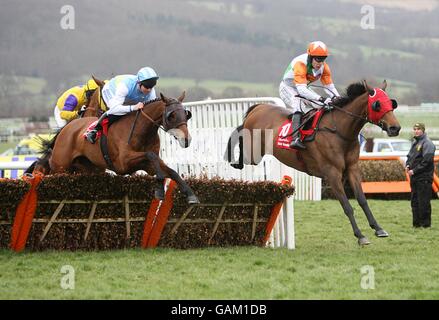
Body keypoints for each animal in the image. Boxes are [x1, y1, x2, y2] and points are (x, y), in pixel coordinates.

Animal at [31, 90, 201, 204]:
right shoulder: (123, 162)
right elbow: (151, 156)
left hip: (88, 169)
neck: (142, 130)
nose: (186, 140)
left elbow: (171, 171)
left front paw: (190, 194)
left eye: (186, 114)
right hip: (60, 166)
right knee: (46, 170)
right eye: (171, 116)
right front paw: (159, 188)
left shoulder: (148, 166)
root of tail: (66, 129)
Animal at [227, 80, 402, 245]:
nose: (395, 128)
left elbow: (362, 200)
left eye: (391, 103)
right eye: (377, 105)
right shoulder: (332, 173)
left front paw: (378, 228)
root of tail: (258, 108)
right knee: (243, 148)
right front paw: (360, 236)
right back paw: (233, 159)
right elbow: (347, 206)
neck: (340, 132)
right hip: (253, 153)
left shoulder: (352, 169)